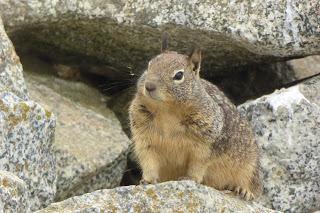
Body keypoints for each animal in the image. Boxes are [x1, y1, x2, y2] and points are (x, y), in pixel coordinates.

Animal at [128, 32, 262, 201]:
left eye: (179, 75)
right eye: (149, 65)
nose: (149, 86)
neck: (167, 111)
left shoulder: (205, 145)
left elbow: (198, 165)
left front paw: (190, 178)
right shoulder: (144, 140)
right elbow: (149, 161)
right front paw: (147, 180)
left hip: (250, 167)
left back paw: (243, 190)